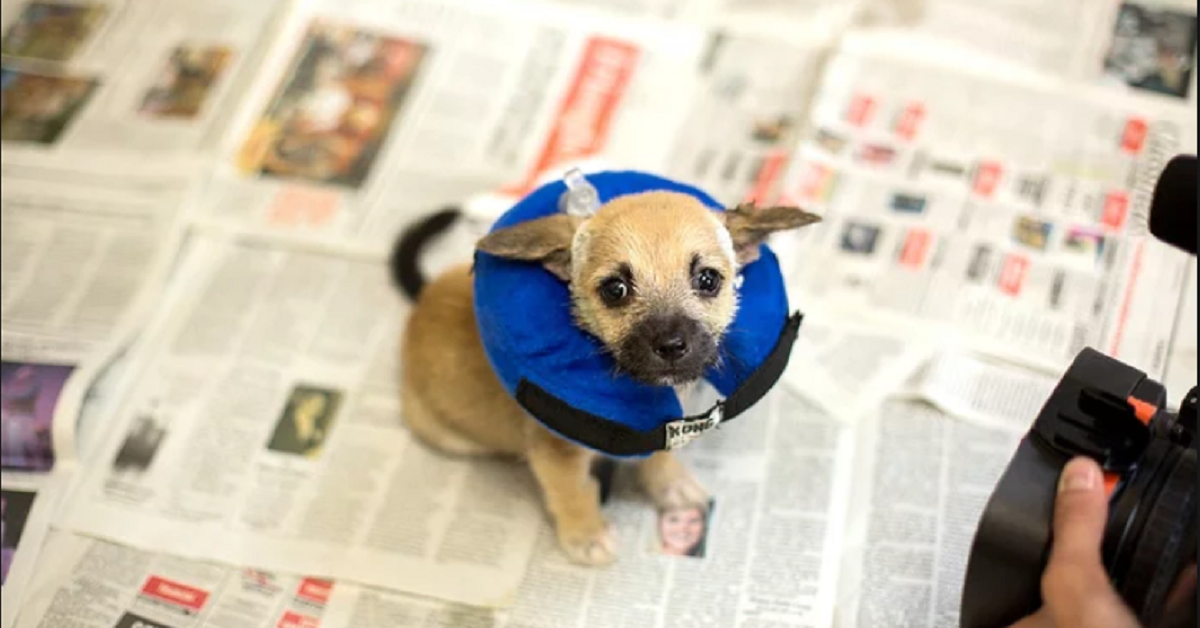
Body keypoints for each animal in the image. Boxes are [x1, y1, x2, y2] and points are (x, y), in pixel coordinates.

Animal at [388, 190, 820, 564]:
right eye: (616, 289)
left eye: (708, 279)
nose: (671, 345)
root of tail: (420, 302)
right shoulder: (556, 454)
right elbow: (573, 491)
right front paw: (586, 536)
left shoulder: (663, 426)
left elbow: (659, 456)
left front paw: (670, 484)